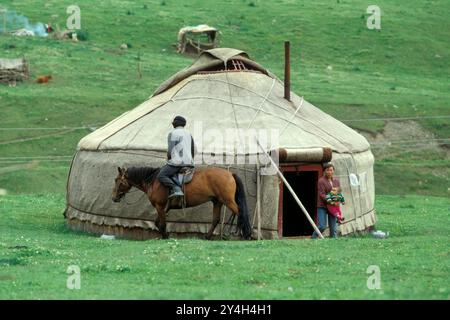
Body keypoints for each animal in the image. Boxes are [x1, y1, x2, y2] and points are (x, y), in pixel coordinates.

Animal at [111, 166, 253, 239]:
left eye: (118, 180)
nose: (113, 198)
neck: (153, 181)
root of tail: (230, 174)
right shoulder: (165, 208)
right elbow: (157, 223)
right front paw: (166, 235)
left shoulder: (160, 206)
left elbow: (162, 224)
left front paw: (165, 237)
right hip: (217, 201)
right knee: (216, 219)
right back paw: (207, 237)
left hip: (227, 201)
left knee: (240, 213)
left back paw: (247, 234)